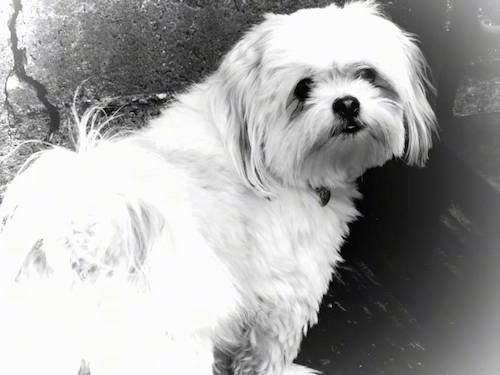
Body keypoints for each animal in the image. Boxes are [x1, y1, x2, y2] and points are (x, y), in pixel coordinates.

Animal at [0, 1, 436, 374]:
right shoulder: (286, 290)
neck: (261, 152)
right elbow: (266, 352)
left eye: (367, 74)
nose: (347, 103)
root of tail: (83, 238)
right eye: (303, 88)